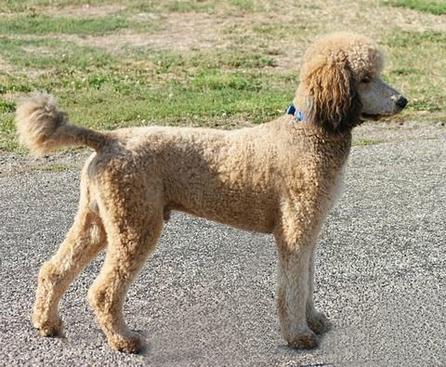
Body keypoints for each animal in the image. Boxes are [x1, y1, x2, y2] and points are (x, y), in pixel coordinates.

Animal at [15, 33, 408, 356]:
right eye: (365, 78)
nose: (403, 100)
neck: (310, 132)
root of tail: (108, 139)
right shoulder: (294, 233)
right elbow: (291, 290)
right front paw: (299, 335)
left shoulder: (308, 232)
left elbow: (306, 283)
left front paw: (314, 321)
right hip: (136, 226)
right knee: (103, 291)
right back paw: (124, 340)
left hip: (98, 221)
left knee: (53, 270)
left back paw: (47, 323)